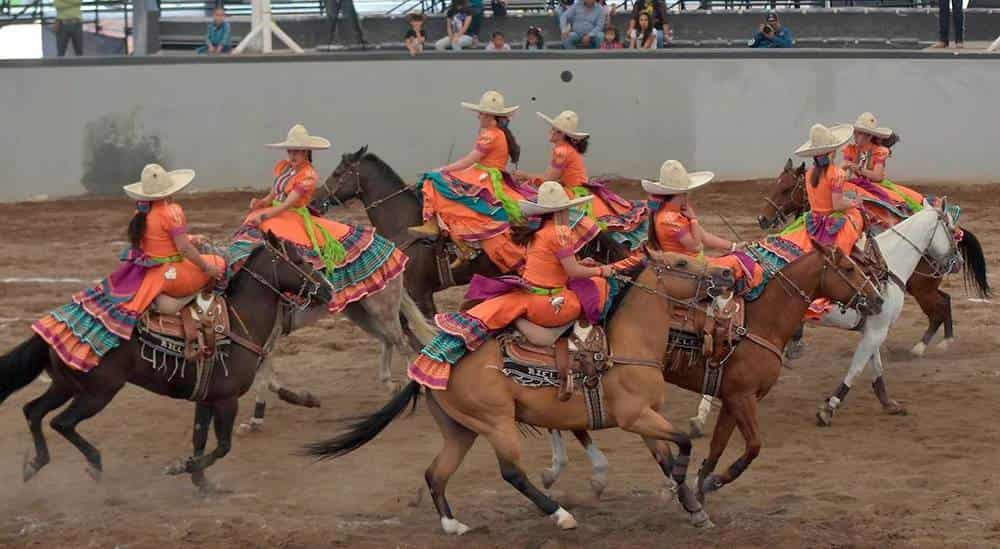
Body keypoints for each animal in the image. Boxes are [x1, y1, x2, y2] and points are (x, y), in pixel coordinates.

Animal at [0, 231, 336, 492]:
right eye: (301, 260)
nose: (329, 290)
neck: (237, 322)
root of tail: (54, 326)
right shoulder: (226, 400)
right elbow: (222, 446)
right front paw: (182, 468)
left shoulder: (207, 398)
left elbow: (200, 439)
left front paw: (203, 484)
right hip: (97, 393)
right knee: (61, 422)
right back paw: (93, 465)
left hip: (65, 385)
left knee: (33, 412)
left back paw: (34, 464)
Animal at [306, 246, 884, 532]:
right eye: (849, 265)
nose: (877, 300)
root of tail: (434, 360)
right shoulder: (662, 411)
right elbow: (709, 446)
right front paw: (697, 487)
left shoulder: (693, 408)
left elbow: (693, 448)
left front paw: (694, 497)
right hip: (495, 423)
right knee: (511, 471)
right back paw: (560, 513)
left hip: (460, 430)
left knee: (435, 474)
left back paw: (454, 527)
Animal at [760, 158, 988, 356]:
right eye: (775, 185)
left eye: (786, 189)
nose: (762, 219)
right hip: (923, 288)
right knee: (944, 301)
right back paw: (943, 341)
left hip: (922, 289)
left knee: (939, 308)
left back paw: (924, 347)